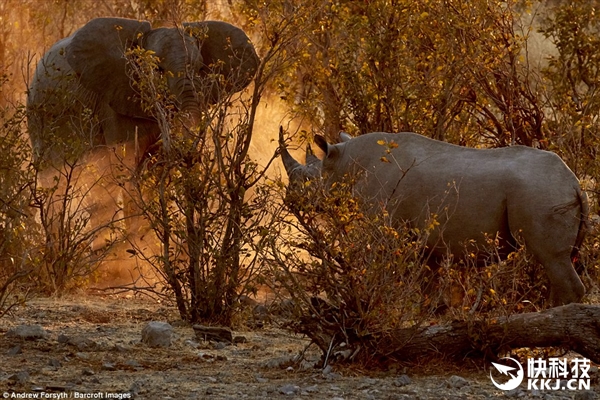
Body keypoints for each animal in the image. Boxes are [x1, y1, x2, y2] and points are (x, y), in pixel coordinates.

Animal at [278, 130, 588, 304]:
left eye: (309, 180)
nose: (291, 199)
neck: (344, 162)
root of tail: (574, 182)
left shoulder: (383, 228)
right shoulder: (427, 243)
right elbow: (430, 286)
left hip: (541, 191)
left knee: (551, 259)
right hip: (545, 190)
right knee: (555, 265)